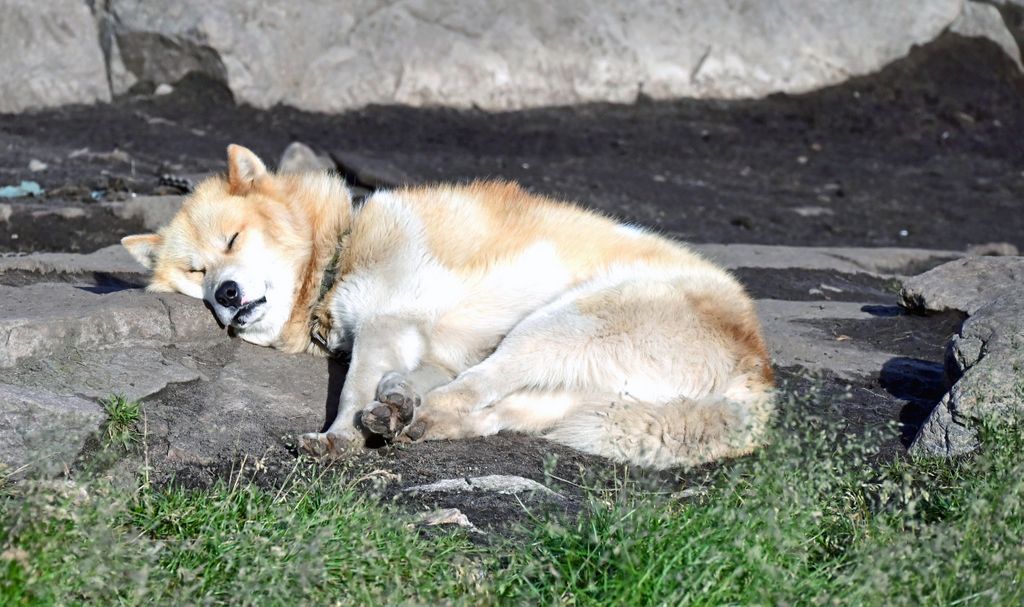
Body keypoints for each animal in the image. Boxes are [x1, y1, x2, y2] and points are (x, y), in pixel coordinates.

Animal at [121, 144, 770, 466]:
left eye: (232, 241)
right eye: (196, 273)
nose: (225, 296)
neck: (341, 250)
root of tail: (759, 373)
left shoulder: (387, 325)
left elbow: (354, 390)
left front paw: (340, 438)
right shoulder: (425, 346)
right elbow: (406, 379)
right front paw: (391, 406)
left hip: (557, 325)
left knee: (475, 390)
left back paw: (407, 415)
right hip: (571, 399)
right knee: (483, 411)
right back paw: (412, 418)